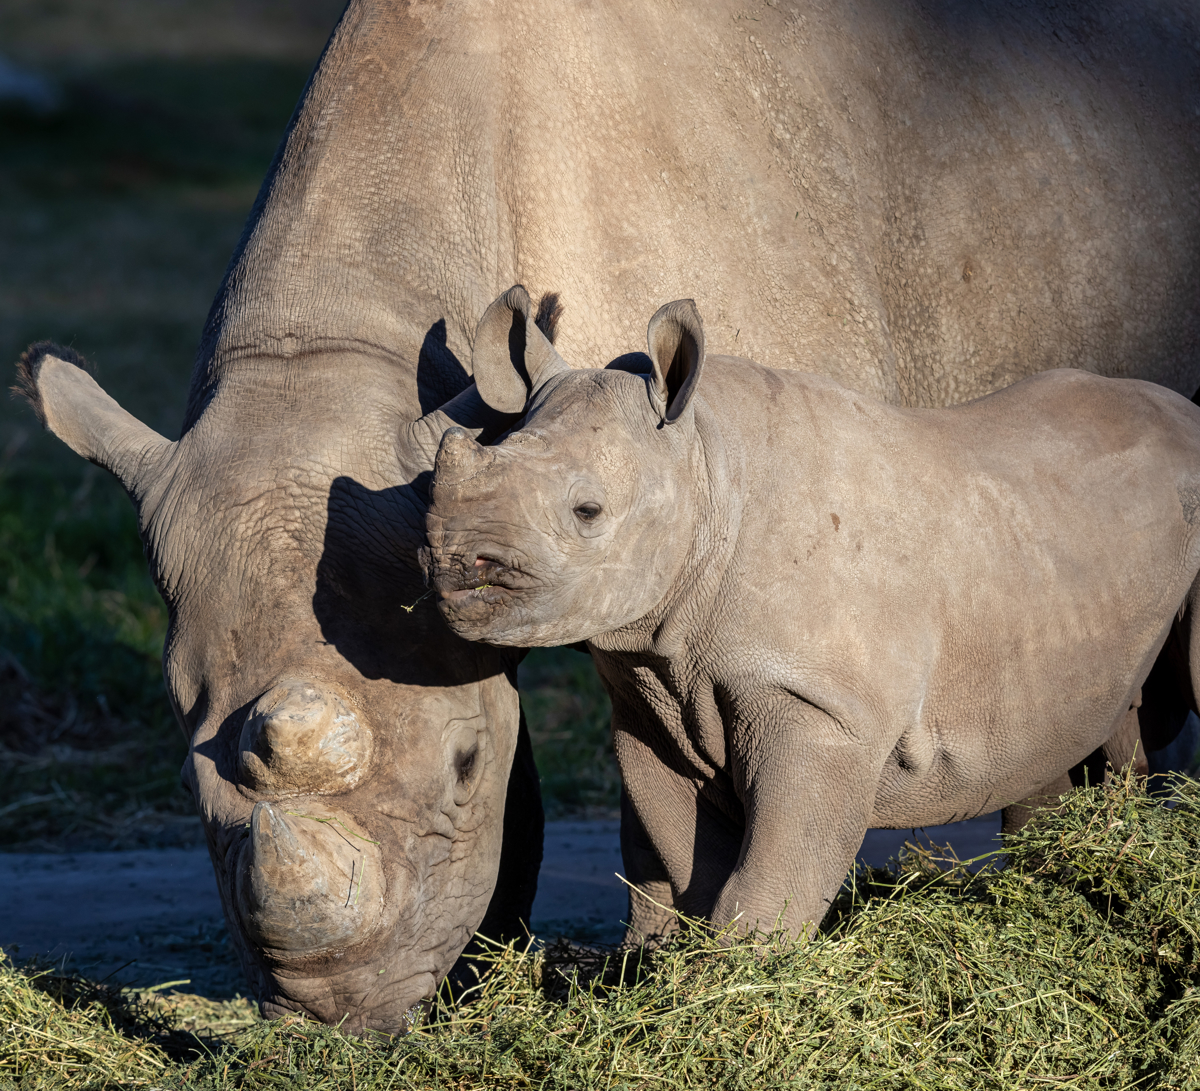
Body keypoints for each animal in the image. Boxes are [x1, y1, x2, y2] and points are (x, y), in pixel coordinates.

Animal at [425, 288, 1200, 938]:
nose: (454, 571)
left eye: (587, 512)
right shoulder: (648, 699)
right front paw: (668, 975)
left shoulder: (820, 706)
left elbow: (770, 873)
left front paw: (740, 982)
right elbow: (681, 861)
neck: (705, 468)